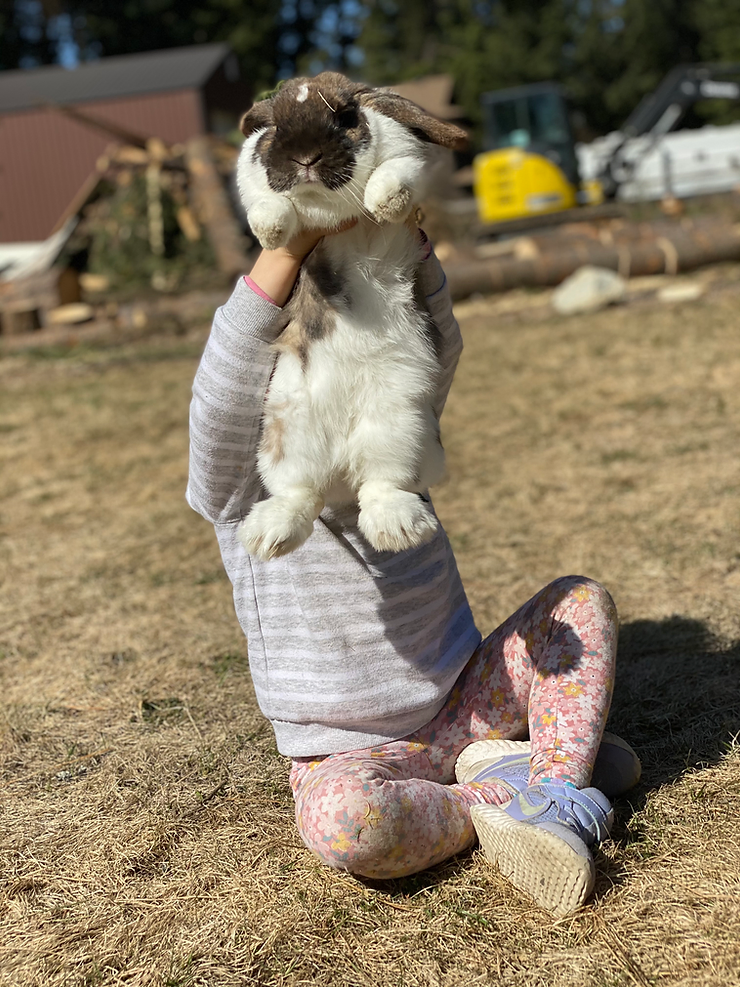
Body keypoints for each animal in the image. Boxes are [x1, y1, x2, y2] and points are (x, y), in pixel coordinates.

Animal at [236, 68, 468, 560]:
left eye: (345, 117)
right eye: (275, 128)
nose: (305, 157)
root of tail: (340, 465)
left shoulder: (409, 161)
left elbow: (393, 172)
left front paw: (385, 203)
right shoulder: (254, 184)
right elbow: (265, 202)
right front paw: (271, 230)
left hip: (399, 427)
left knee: (382, 485)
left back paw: (397, 530)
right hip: (289, 436)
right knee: (300, 493)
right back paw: (269, 535)